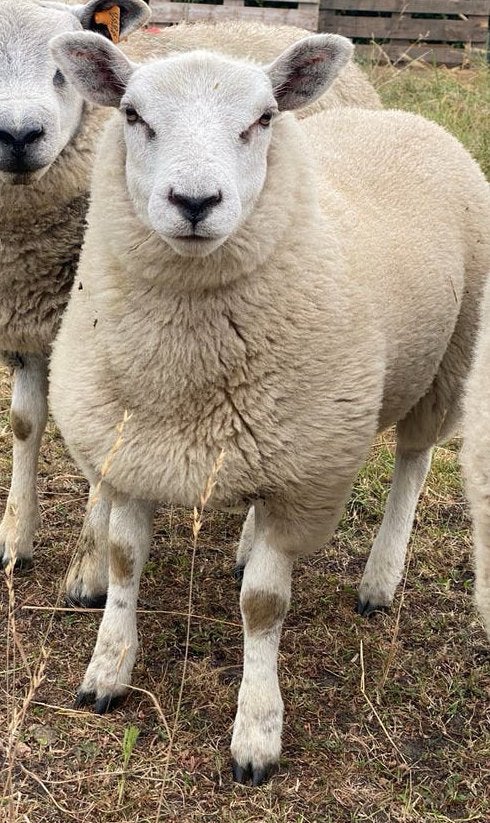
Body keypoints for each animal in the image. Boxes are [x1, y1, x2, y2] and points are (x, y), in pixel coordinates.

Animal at [0, 1, 380, 585]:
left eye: (60, 70)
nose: (18, 136)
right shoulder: (33, 322)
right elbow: (25, 423)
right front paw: (15, 535)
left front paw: (89, 567)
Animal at [47, 29, 490, 783]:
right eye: (133, 115)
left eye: (261, 120)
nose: (195, 201)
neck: (187, 371)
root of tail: (407, 117)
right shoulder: (132, 452)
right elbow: (123, 560)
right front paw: (106, 672)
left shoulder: (304, 481)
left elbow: (262, 605)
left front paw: (257, 731)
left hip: (450, 360)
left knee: (414, 458)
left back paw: (379, 578)